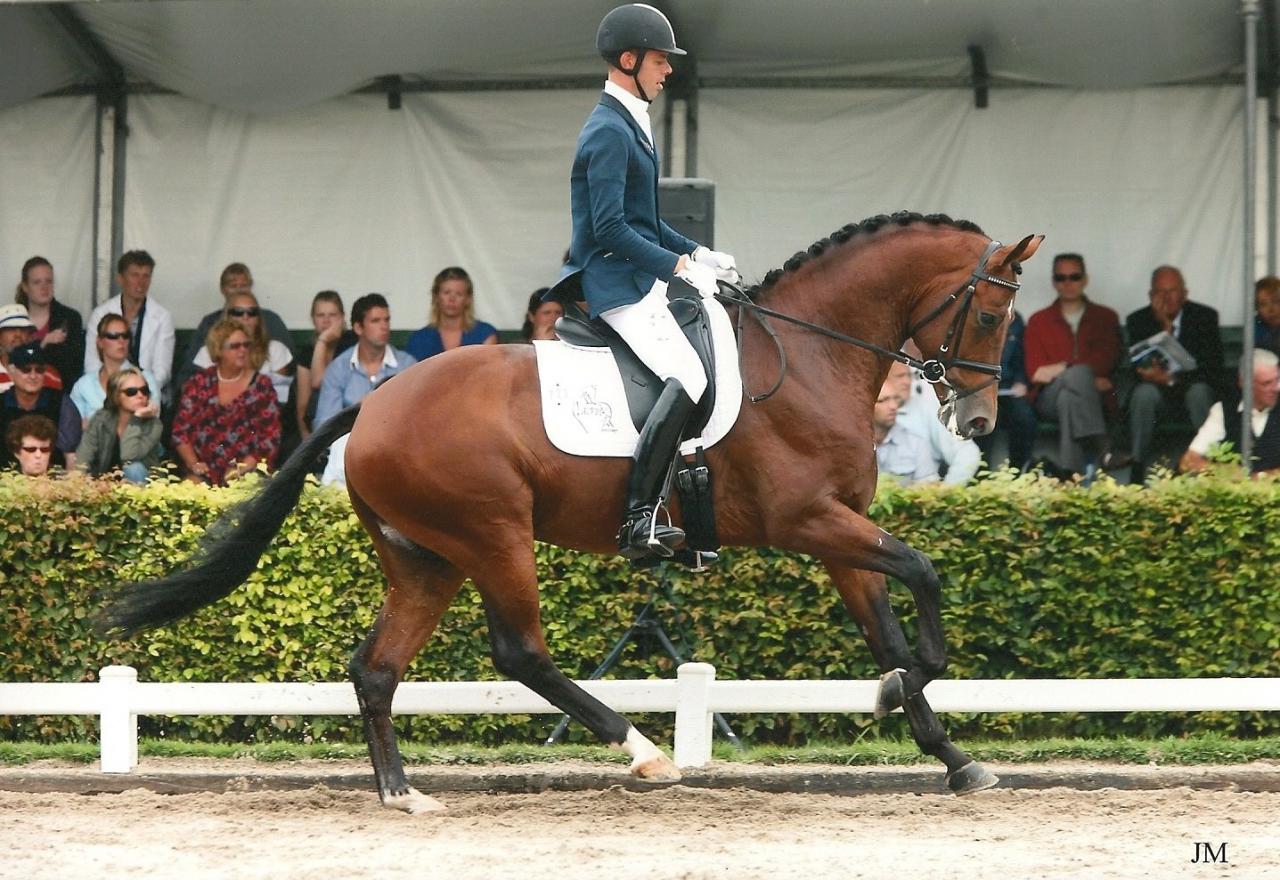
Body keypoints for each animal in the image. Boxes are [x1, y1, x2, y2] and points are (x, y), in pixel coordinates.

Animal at [97, 211, 1042, 814]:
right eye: (993, 313)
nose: (979, 422)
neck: (810, 354)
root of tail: (373, 404)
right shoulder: (807, 522)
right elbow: (924, 580)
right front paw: (898, 694)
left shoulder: (841, 534)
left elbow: (890, 626)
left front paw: (953, 758)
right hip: (493, 534)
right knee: (520, 651)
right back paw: (645, 753)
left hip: (426, 558)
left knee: (376, 667)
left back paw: (402, 794)